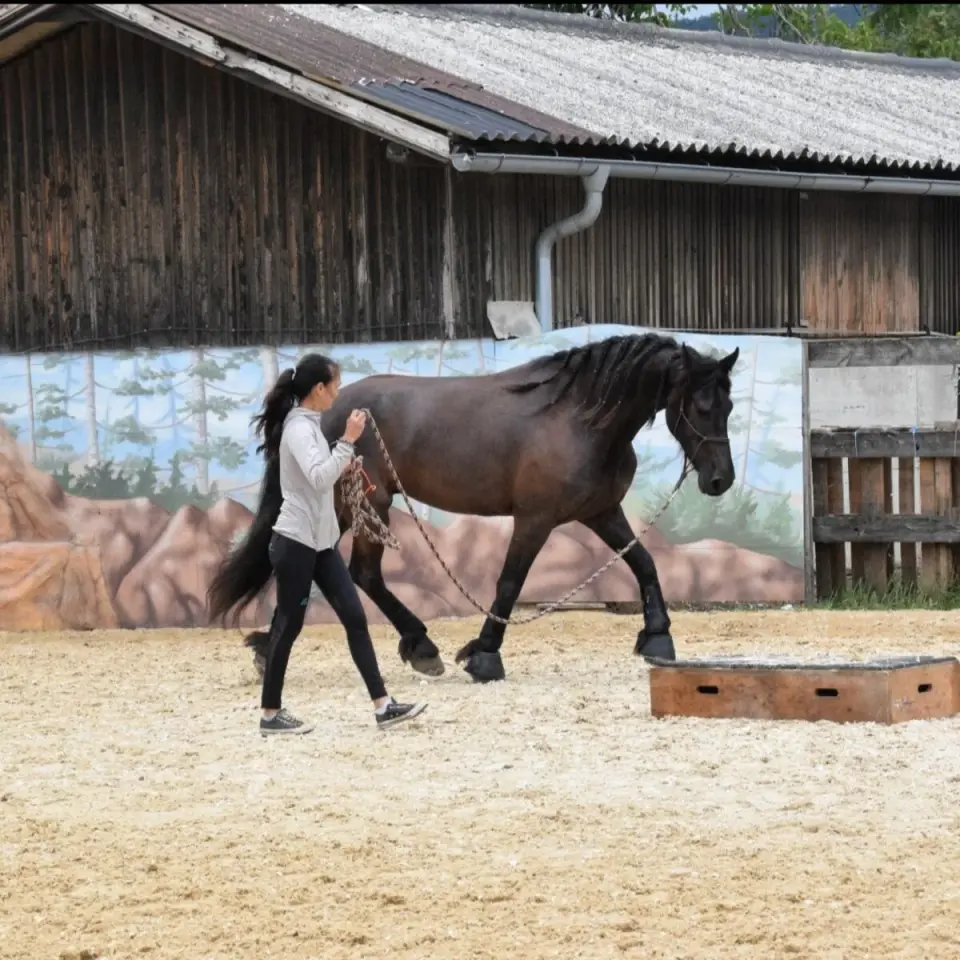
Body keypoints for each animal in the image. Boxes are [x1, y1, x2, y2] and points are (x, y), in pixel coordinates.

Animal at [233, 332, 738, 684]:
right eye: (699, 405)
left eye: (728, 406)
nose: (721, 480)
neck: (579, 419)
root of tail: (325, 413)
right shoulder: (535, 519)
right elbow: (510, 583)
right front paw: (484, 654)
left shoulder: (602, 512)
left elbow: (644, 562)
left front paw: (657, 635)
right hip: (362, 503)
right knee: (355, 571)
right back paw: (415, 645)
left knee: (339, 570)